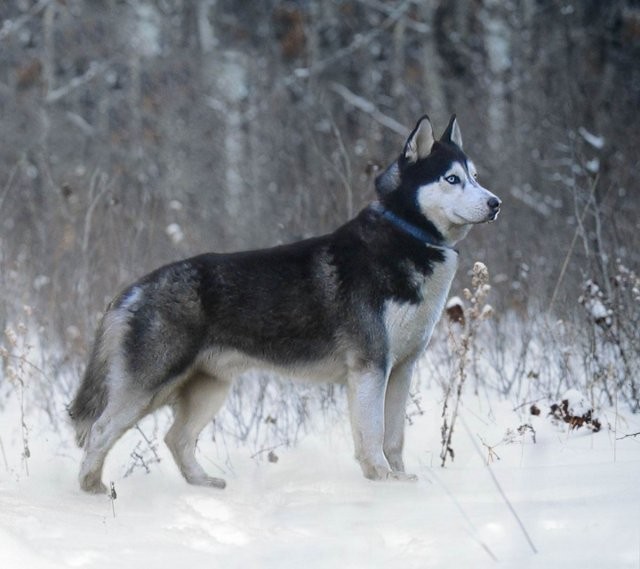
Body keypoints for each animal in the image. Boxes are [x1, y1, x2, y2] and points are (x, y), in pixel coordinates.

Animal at [69, 113, 500, 490]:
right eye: (452, 178)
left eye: (475, 177)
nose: (495, 203)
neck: (408, 235)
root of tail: (134, 288)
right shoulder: (370, 368)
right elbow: (373, 435)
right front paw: (382, 482)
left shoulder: (401, 369)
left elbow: (393, 437)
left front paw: (401, 482)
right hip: (149, 385)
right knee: (99, 431)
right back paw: (92, 490)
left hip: (210, 389)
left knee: (176, 438)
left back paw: (203, 484)